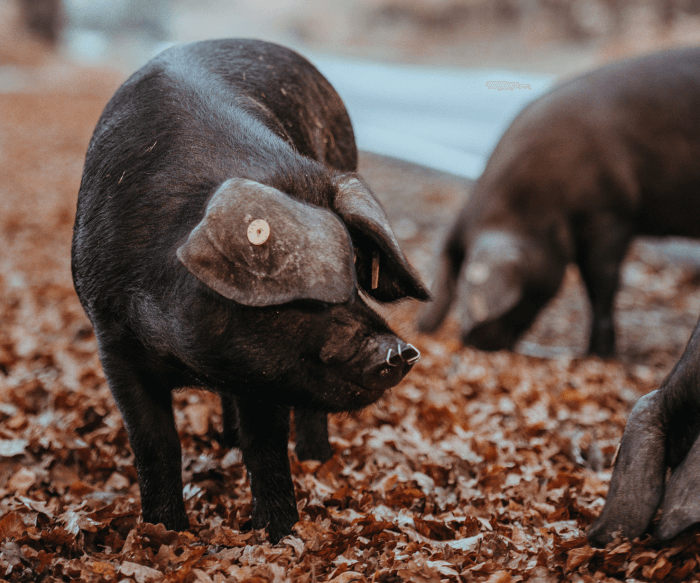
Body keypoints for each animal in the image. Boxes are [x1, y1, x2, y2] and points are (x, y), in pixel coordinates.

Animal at [71, 38, 428, 543]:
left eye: (355, 278)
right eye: (301, 293)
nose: (401, 352)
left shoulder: (268, 373)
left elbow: (266, 444)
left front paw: (279, 535)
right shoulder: (113, 340)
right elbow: (155, 445)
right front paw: (164, 532)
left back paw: (314, 460)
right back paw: (227, 442)